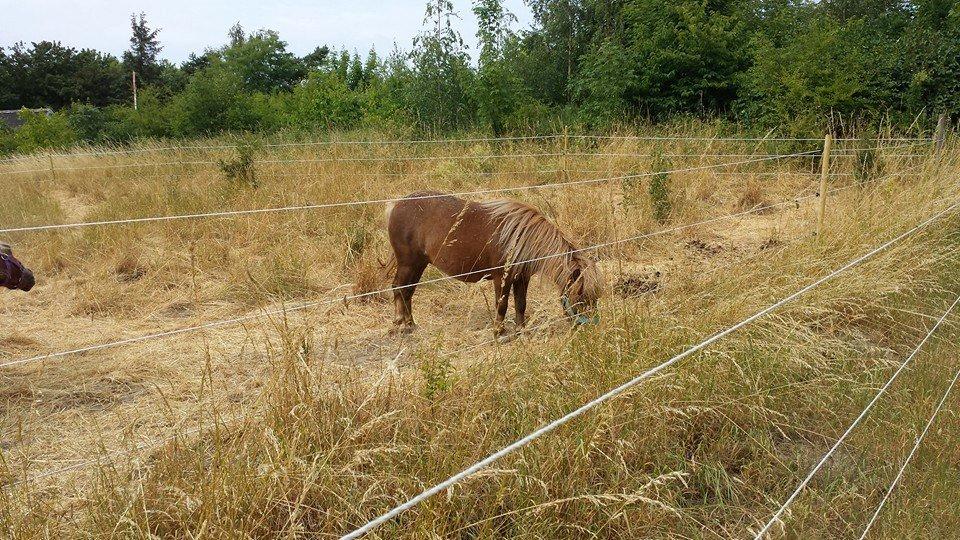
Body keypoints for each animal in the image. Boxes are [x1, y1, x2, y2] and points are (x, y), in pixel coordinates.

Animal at [384, 192, 600, 340]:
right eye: (581, 297)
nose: (590, 329)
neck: (520, 238)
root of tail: (397, 204)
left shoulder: (522, 279)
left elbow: (521, 304)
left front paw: (521, 331)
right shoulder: (501, 278)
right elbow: (501, 305)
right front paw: (499, 332)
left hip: (418, 264)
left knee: (408, 291)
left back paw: (411, 324)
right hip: (408, 263)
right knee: (399, 288)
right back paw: (400, 324)